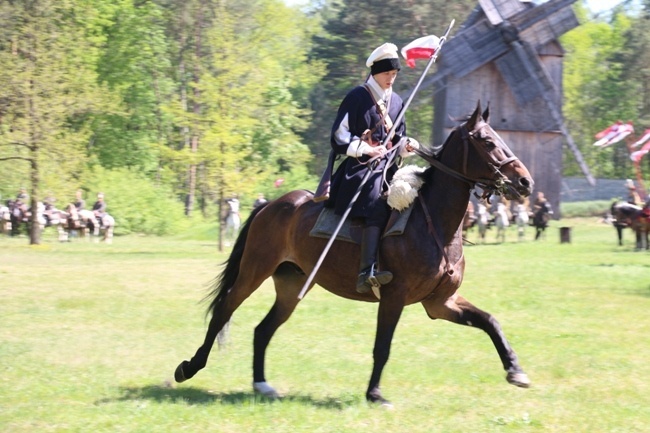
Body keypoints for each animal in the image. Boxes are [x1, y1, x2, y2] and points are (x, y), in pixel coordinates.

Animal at [172, 102, 532, 404]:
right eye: (486, 141)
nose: (525, 182)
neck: (435, 225)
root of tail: (269, 205)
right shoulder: (394, 298)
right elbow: (382, 347)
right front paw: (374, 394)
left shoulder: (440, 303)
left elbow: (489, 322)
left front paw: (515, 371)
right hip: (254, 272)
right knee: (225, 309)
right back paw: (189, 367)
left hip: (292, 285)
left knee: (262, 329)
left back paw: (261, 384)